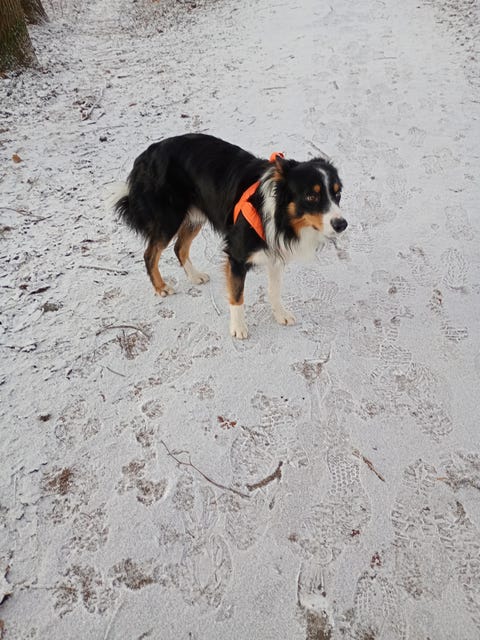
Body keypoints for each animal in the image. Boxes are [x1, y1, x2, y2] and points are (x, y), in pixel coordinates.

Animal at [112, 133, 347, 339]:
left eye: (337, 194)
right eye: (311, 196)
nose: (342, 224)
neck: (275, 213)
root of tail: (148, 152)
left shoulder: (274, 252)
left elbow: (274, 290)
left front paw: (280, 314)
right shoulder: (237, 255)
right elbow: (237, 295)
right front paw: (238, 328)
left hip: (196, 214)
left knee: (180, 247)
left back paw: (194, 276)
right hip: (169, 219)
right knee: (150, 253)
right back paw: (161, 287)